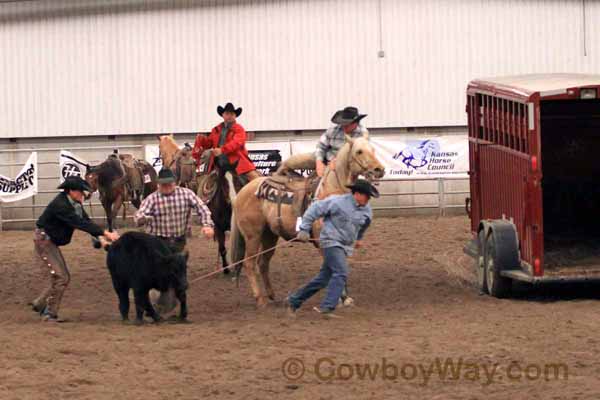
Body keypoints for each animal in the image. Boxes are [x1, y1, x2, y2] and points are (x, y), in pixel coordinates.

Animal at [230, 134, 384, 306]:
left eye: (373, 149)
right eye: (359, 151)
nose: (379, 169)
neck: (332, 192)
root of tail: (242, 192)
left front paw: (345, 298)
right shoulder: (324, 241)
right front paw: (340, 298)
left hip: (269, 235)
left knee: (263, 263)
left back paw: (271, 295)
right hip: (253, 236)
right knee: (249, 264)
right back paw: (260, 299)